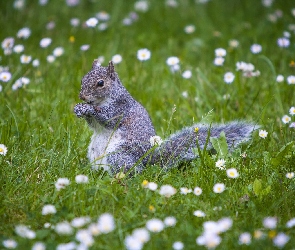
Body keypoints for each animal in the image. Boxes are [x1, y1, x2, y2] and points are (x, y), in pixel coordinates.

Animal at [74, 60, 260, 175]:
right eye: (82, 79)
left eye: (100, 83)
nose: (82, 96)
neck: (104, 99)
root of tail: (147, 162)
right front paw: (78, 108)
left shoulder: (121, 108)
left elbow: (108, 118)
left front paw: (88, 108)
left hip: (119, 155)